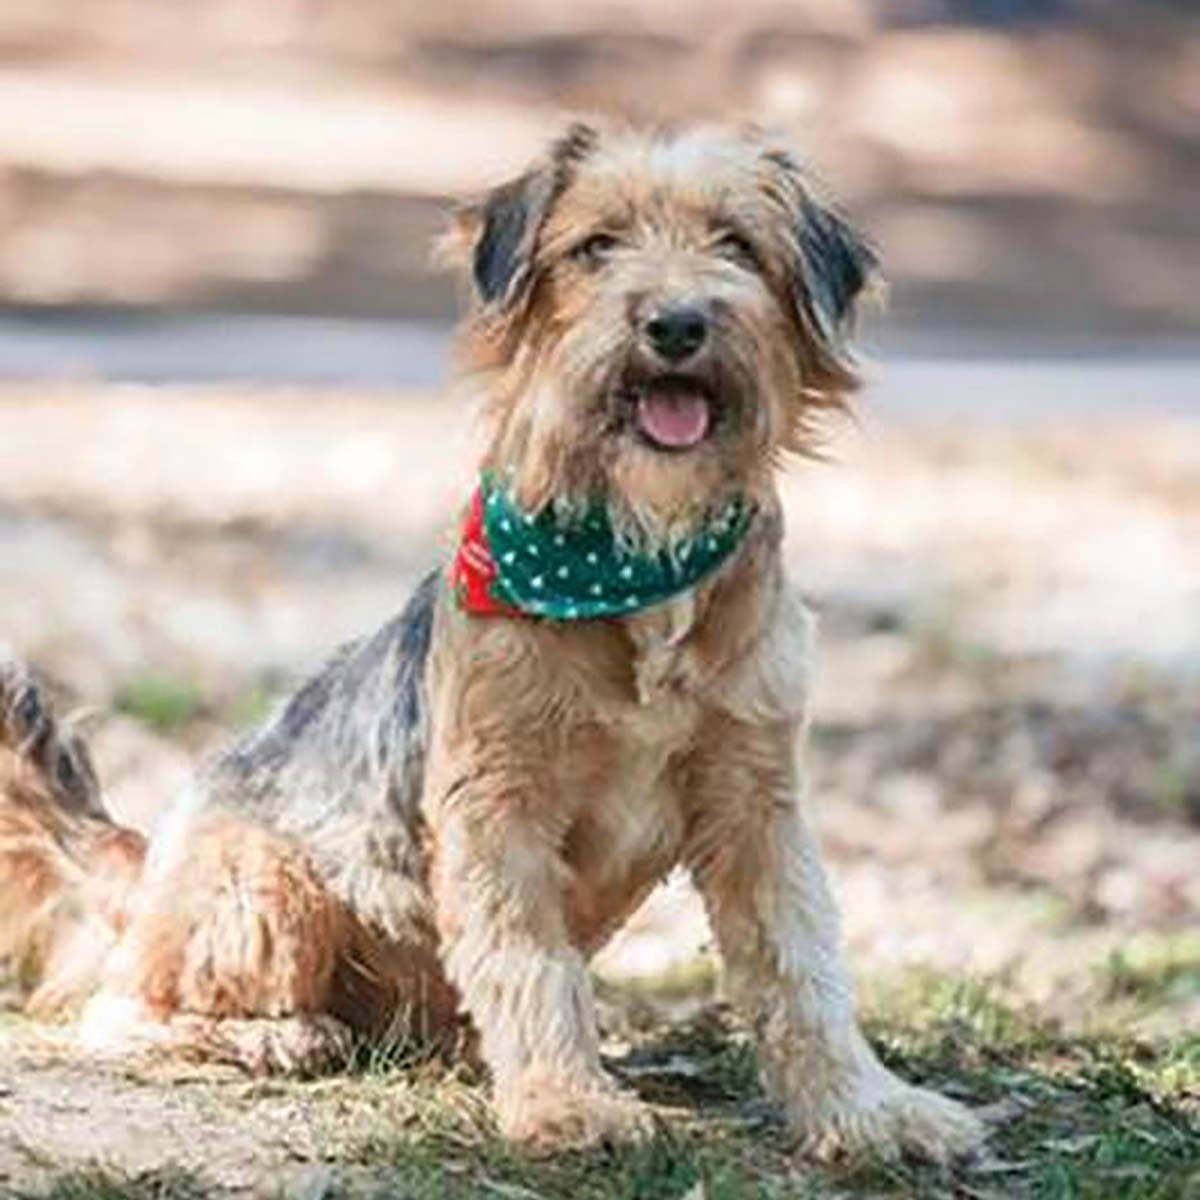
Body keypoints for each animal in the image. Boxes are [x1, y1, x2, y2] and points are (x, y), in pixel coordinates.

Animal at [0, 121, 983, 1162]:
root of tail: (147, 865)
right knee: (120, 1013)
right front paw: (568, 1102)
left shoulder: (757, 800)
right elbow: (528, 960)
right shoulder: (497, 800)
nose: (676, 325)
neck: (633, 554)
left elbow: (804, 969)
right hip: (266, 884)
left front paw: (866, 1108)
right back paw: (282, 1035)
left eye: (737, 245)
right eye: (597, 246)